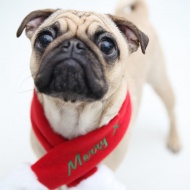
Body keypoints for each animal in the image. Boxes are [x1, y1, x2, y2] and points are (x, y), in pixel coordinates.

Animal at [0, 0, 180, 190]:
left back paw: (174, 140)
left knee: (171, 111)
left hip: (160, 82)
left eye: (107, 46)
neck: (72, 109)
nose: (73, 45)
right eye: (45, 39)